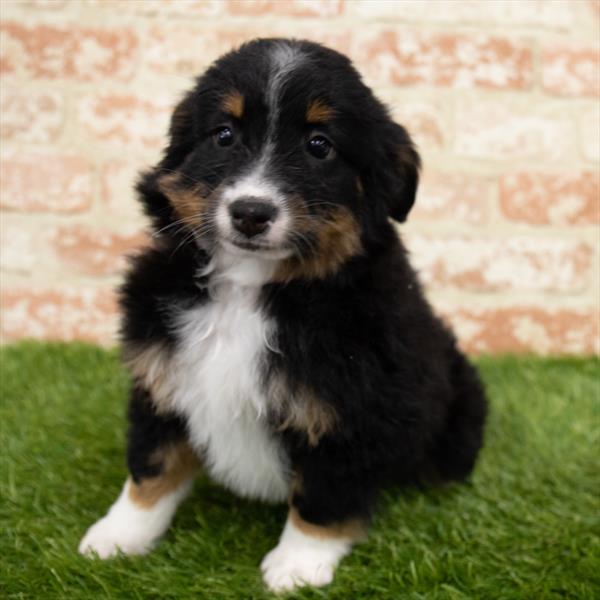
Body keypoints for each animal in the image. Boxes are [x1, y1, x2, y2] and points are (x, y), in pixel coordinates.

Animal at [78, 39, 488, 592]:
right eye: (223, 135)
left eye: (319, 145)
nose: (251, 212)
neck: (250, 289)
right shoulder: (162, 378)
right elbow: (152, 466)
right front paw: (118, 535)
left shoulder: (350, 409)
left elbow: (323, 495)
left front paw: (298, 566)